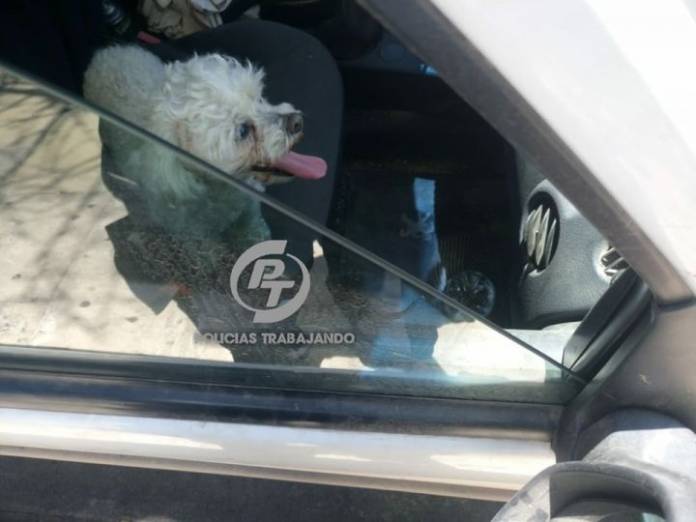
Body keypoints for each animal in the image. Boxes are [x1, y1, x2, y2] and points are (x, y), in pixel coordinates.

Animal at [83, 45, 326, 243]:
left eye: (257, 98)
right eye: (243, 131)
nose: (297, 122)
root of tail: (101, 54)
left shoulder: (247, 203)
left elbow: (251, 222)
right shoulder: (192, 233)